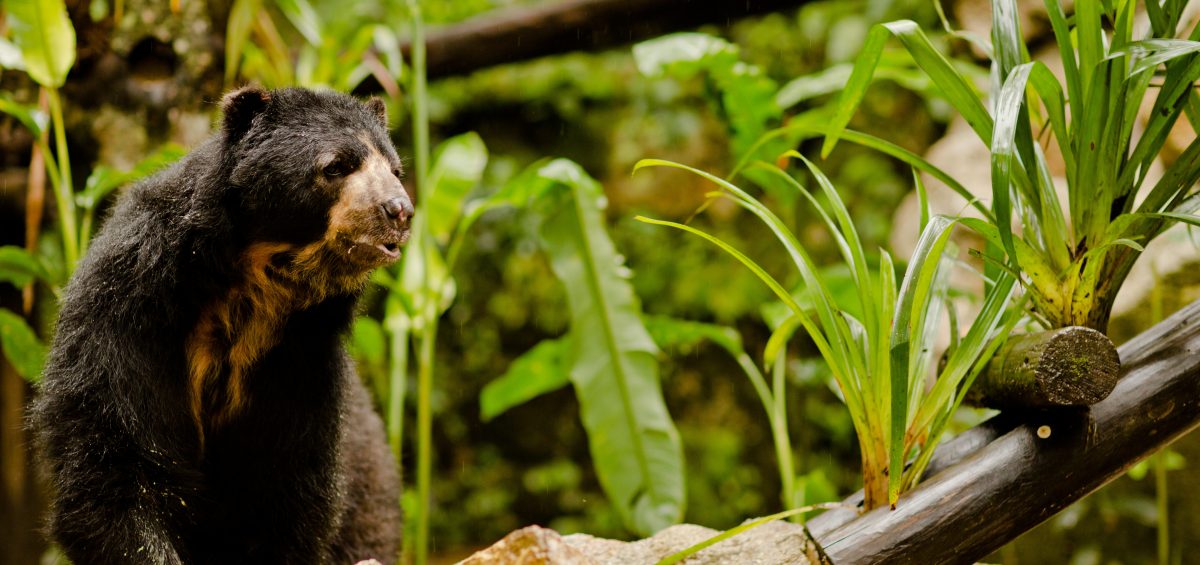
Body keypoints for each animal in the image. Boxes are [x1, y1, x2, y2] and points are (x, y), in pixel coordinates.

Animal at [30, 86, 412, 563]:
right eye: (336, 166)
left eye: (395, 169)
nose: (399, 210)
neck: (254, 293)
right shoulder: (129, 319)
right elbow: (116, 465)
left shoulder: (302, 360)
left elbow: (287, 487)